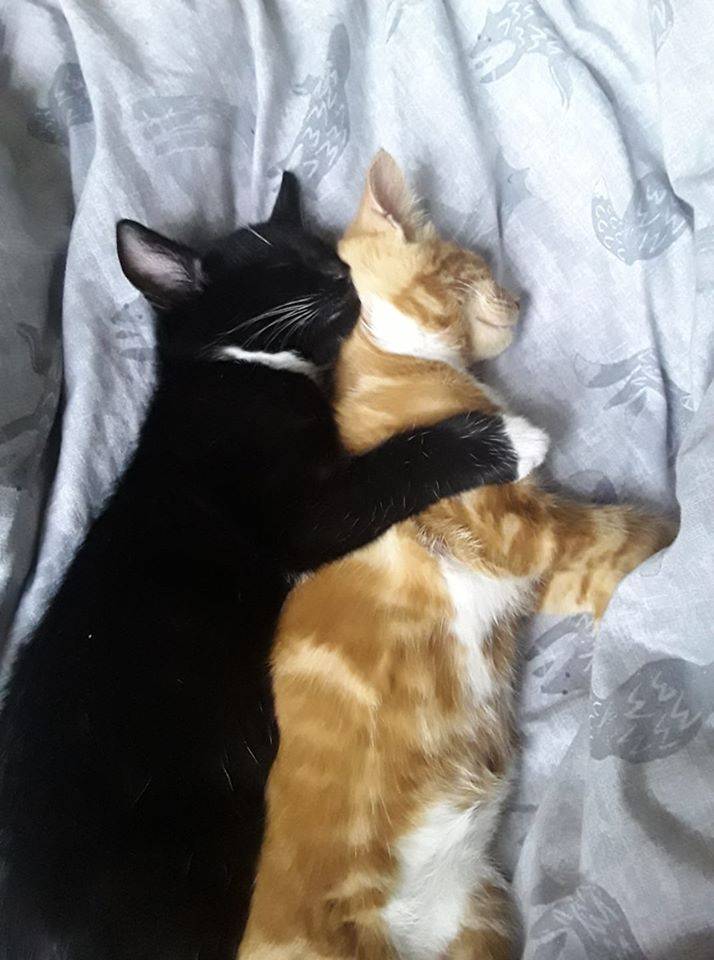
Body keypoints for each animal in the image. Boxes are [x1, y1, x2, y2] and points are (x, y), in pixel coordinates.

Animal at [0, 172, 547, 960]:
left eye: (325, 251)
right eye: (289, 265)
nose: (342, 273)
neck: (235, 367)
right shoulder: (302, 513)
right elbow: (402, 461)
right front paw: (507, 437)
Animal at [238, 153, 675, 960]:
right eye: (474, 265)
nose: (520, 295)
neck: (396, 362)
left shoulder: (535, 561)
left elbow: (603, 559)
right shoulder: (505, 524)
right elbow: (617, 531)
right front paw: (679, 542)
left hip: (476, 921)